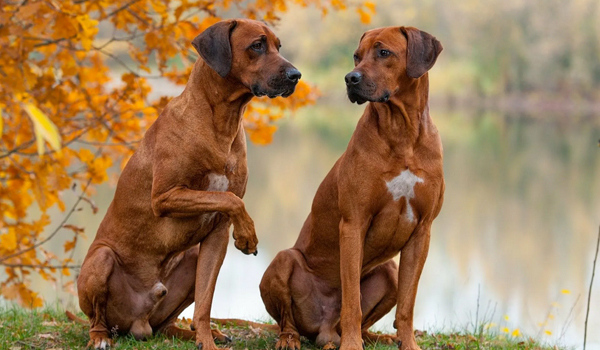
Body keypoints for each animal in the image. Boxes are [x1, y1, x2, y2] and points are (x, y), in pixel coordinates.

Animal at [75, 19, 300, 350]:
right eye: (257, 45)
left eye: (278, 46)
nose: (296, 75)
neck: (222, 122)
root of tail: (136, 323)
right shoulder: (165, 196)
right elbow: (232, 200)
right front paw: (248, 235)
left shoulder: (217, 233)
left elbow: (205, 301)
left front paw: (206, 339)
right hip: (101, 259)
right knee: (97, 320)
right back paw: (100, 337)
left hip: (187, 263)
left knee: (165, 326)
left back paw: (198, 333)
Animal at [260, 25, 442, 350]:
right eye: (357, 56)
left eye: (384, 52)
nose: (350, 78)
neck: (403, 133)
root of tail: (324, 330)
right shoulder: (354, 223)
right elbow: (351, 302)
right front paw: (352, 345)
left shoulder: (423, 231)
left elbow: (407, 305)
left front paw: (408, 343)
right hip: (285, 260)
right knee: (287, 320)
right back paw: (291, 339)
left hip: (389, 271)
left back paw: (375, 336)